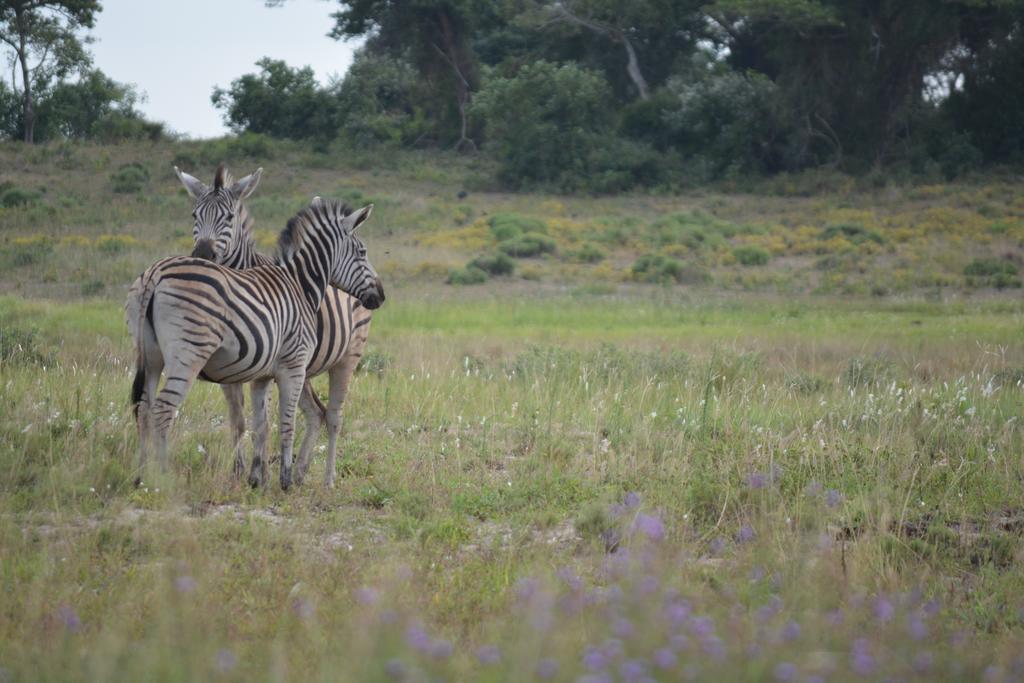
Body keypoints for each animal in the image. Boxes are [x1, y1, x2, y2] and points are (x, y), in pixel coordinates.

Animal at [126, 197, 385, 491]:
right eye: (362, 252)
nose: (381, 295)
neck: (301, 285)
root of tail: (155, 274)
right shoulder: (294, 365)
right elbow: (286, 424)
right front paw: (284, 480)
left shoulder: (263, 375)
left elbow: (261, 424)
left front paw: (257, 480)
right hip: (189, 353)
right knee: (163, 410)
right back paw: (164, 478)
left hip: (150, 355)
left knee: (144, 408)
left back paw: (140, 477)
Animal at [175, 164, 376, 485]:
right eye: (195, 215)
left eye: (229, 217)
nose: (203, 255)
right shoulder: (235, 370)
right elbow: (239, 421)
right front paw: (240, 473)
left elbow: (264, 421)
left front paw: (262, 473)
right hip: (303, 369)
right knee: (315, 413)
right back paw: (300, 470)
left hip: (348, 356)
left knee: (333, 416)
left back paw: (327, 479)